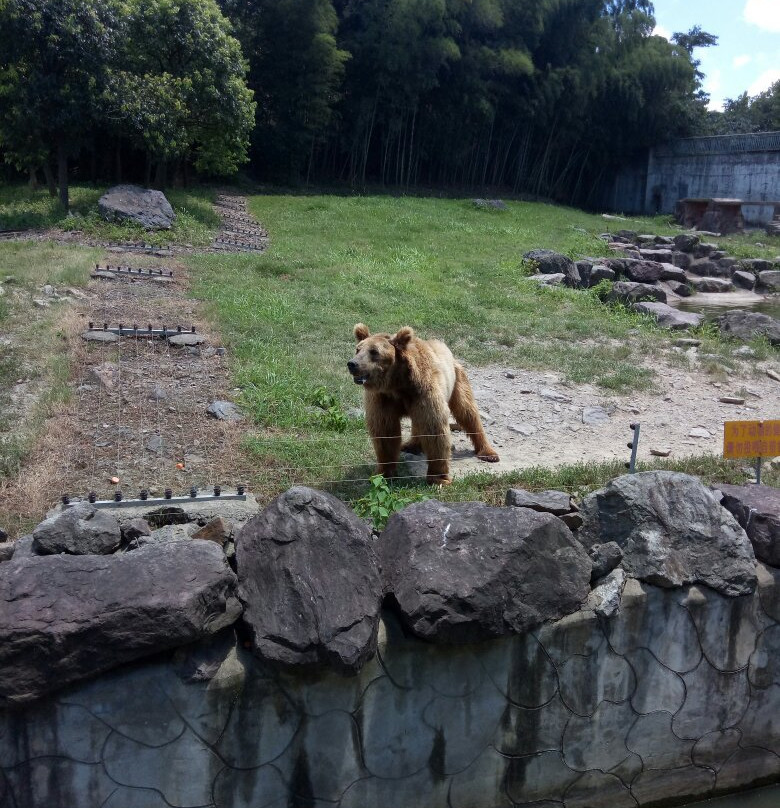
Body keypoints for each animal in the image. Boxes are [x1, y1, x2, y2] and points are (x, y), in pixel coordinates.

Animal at [348, 324, 500, 486]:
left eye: (374, 351)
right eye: (358, 349)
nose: (352, 364)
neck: (397, 384)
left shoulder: (424, 391)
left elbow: (434, 429)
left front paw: (438, 478)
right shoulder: (383, 399)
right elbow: (385, 431)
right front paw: (384, 472)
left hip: (457, 379)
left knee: (467, 411)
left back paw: (488, 453)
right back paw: (411, 445)